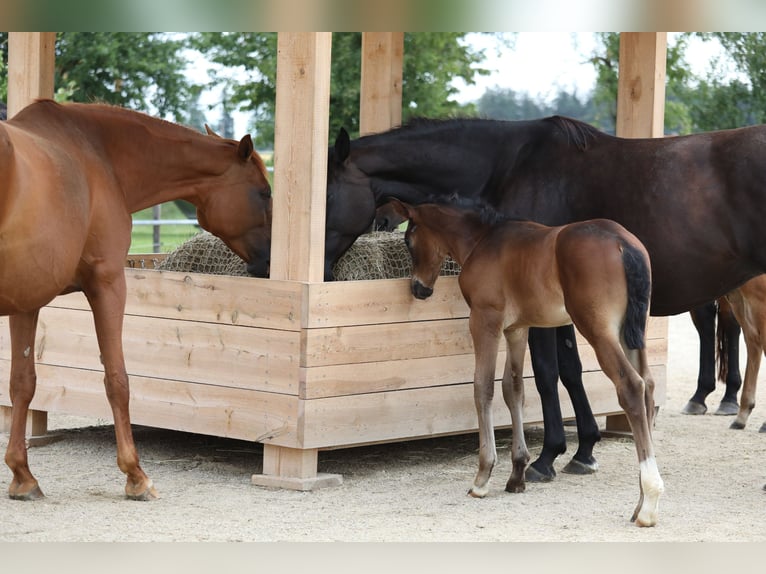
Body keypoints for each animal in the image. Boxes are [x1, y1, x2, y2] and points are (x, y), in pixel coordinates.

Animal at [1, 99, 272, 501]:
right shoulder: (109, 283)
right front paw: (135, 474)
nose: (270, 263)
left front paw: (23, 475)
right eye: (264, 192)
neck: (98, 156)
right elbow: (118, 380)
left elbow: (23, 382)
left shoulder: (27, 299)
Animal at [390, 197, 661, 526]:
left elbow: (483, 387)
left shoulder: (485, 320)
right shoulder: (517, 329)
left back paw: (649, 503)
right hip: (631, 332)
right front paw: (517, 472)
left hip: (598, 329)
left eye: (408, 240)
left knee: (631, 386)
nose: (419, 288)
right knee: (648, 385)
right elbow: (513, 388)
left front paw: (482, 477)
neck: (483, 240)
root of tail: (624, 243)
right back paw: (640, 502)